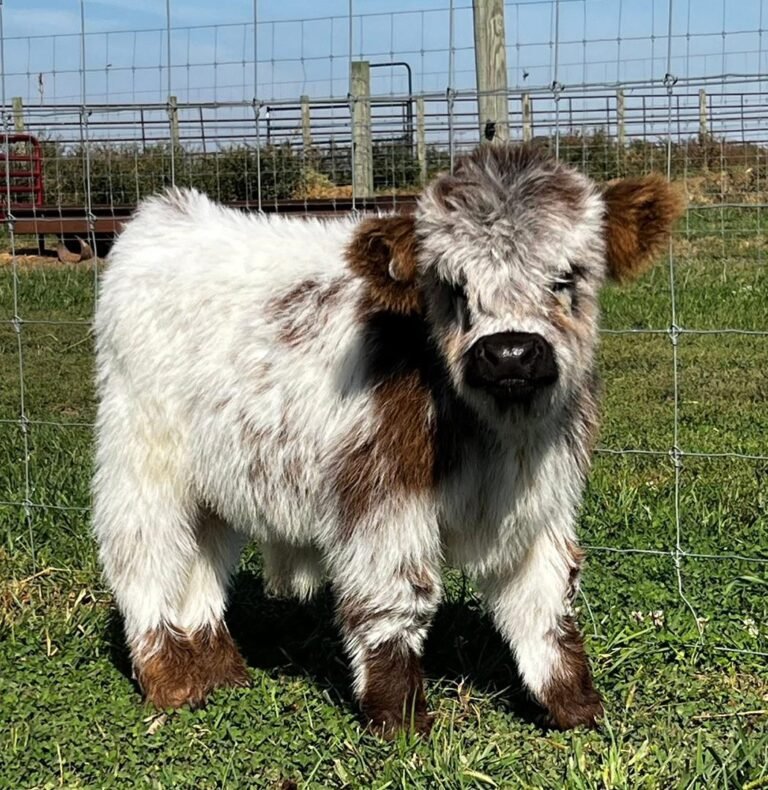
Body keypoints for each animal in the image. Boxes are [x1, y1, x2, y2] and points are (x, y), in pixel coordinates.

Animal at [92, 144, 684, 735]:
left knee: (201, 562)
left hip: (217, 477)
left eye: (566, 278)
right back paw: (172, 680)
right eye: (451, 286)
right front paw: (400, 718)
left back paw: (219, 670)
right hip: (143, 459)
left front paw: (575, 705)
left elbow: (546, 602)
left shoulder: (542, 504)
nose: (510, 353)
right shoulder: (382, 497)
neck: (496, 434)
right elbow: (395, 599)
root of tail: (167, 211)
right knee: (143, 558)